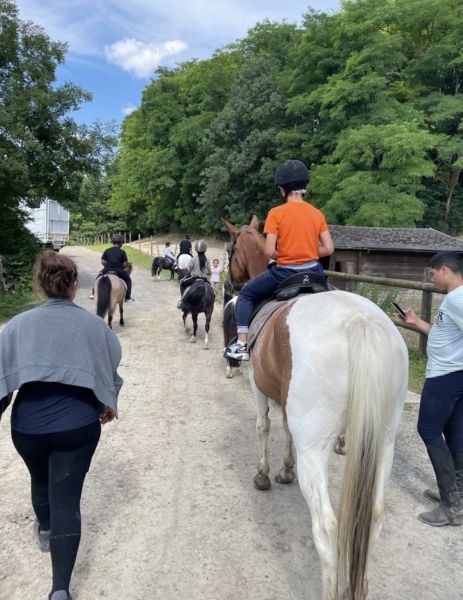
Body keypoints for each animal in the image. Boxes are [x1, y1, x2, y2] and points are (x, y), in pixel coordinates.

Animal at [221, 216, 408, 600]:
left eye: (231, 250)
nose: (229, 286)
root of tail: (359, 322)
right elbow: (285, 429)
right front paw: (285, 469)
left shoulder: (259, 387)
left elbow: (264, 427)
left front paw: (265, 474)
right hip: (384, 440)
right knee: (374, 515)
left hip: (317, 450)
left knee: (326, 526)